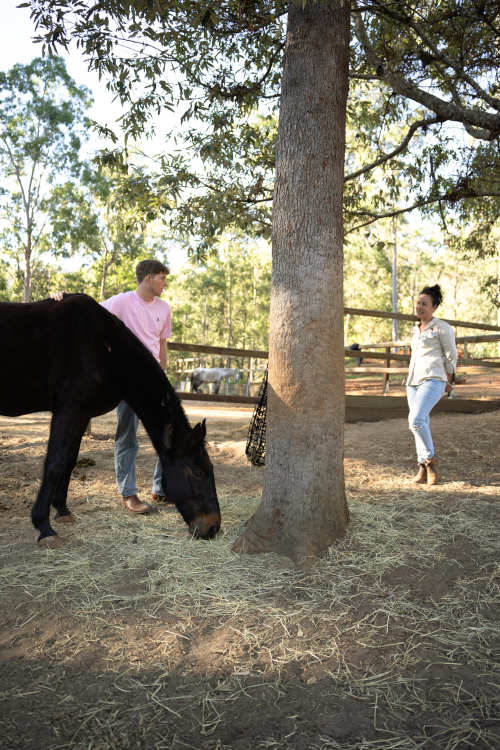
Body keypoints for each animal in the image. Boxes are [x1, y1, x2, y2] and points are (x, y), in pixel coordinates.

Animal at [0, 294, 220, 548]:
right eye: (198, 472)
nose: (213, 527)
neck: (107, 351)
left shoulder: (80, 414)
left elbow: (69, 461)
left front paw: (62, 510)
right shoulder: (68, 411)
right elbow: (54, 464)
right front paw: (44, 526)